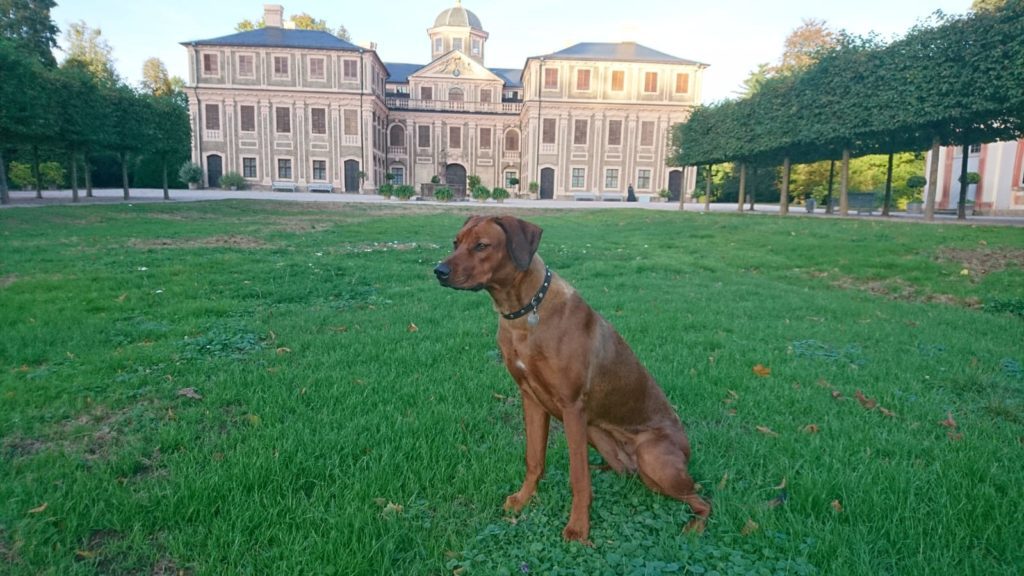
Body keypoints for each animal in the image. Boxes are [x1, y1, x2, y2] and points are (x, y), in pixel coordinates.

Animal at [434, 216, 710, 541]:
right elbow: (534, 460)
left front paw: (578, 528)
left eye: (481, 245)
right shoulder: (531, 399)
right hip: (597, 433)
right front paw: (523, 499)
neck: (524, 312)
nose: (438, 271)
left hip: (652, 457)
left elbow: (578, 477)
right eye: (455, 242)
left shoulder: (572, 406)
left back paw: (695, 525)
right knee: (625, 473)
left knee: (702, 498)